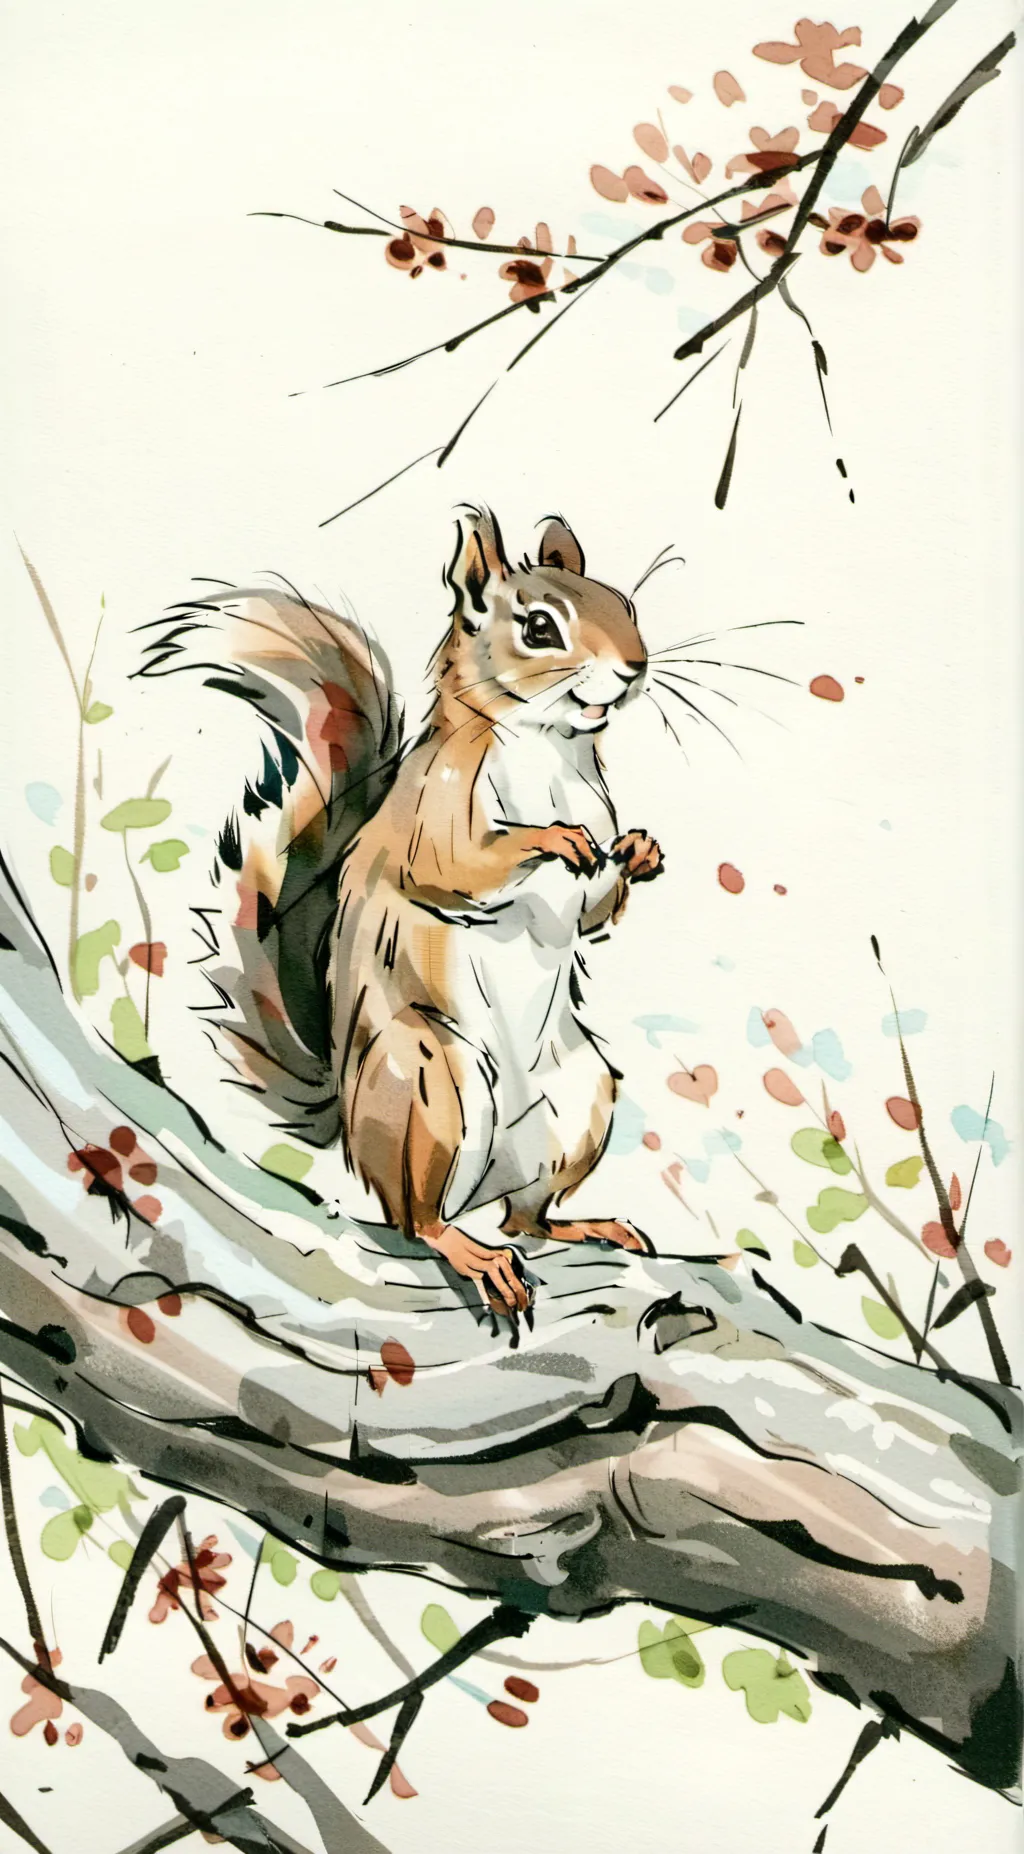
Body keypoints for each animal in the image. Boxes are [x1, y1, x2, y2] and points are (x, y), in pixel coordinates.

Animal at [137, 507, 664, 1323]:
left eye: (626, 606)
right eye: (540, 627)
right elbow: (461, 866)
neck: (548, 748)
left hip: (579, 1098)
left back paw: (581, 1225)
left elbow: (591, 912)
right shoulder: (434, 816)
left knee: (526, 1217)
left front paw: (637, 850)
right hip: (427, 1085)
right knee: (418, 1220)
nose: (635, 667)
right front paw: (553, 838)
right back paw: (471, 1252)